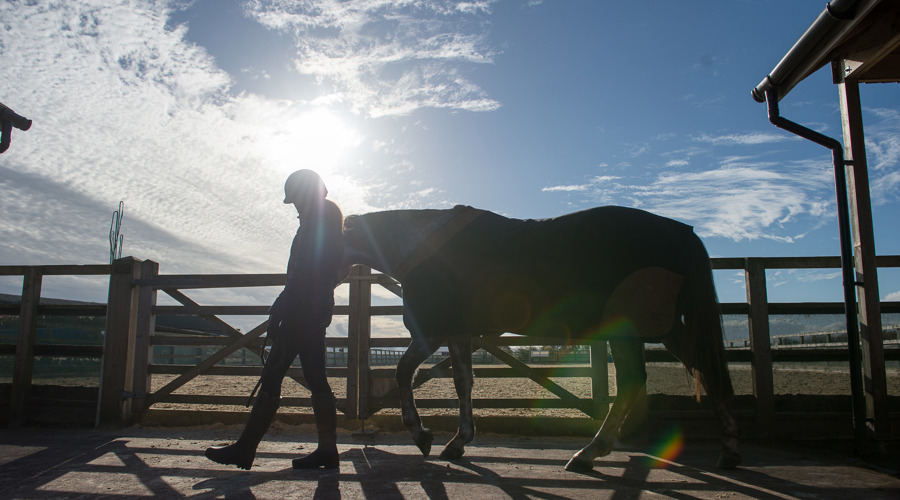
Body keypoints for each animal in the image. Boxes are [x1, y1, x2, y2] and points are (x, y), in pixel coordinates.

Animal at [339, 205, 741, 472]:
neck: (418, 244)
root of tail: (682, 232)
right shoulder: (459, 332)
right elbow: (462, 381)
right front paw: (459, 441)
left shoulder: (434, 331)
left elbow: (404, 372)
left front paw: (421, 435)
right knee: (674, 374)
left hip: (637, 328)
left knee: (675, 373)